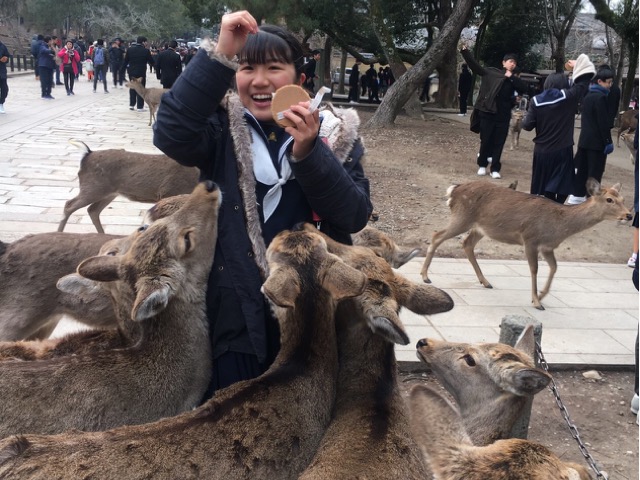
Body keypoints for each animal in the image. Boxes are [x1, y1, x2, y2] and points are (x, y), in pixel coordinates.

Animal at [57, 140, 199, 234]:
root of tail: (87, 154)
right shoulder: (169, 192)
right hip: (92, 187)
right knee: (69, 205)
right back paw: (59, 232)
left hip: (109, 193)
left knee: (93, 209)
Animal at [420, 178, 632, 310]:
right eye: (609, 199)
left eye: (623, 198)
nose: (629, 215)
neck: (559, 227)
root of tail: (454, 190)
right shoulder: (530, 239)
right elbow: (534, 269)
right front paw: (537, 302)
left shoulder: (548, 247)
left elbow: (554, 267)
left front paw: (542, 295)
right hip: (462, 217)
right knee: (436, 235)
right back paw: (425, 276)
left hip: (480, 227)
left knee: (467, 243)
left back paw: (485, 281)